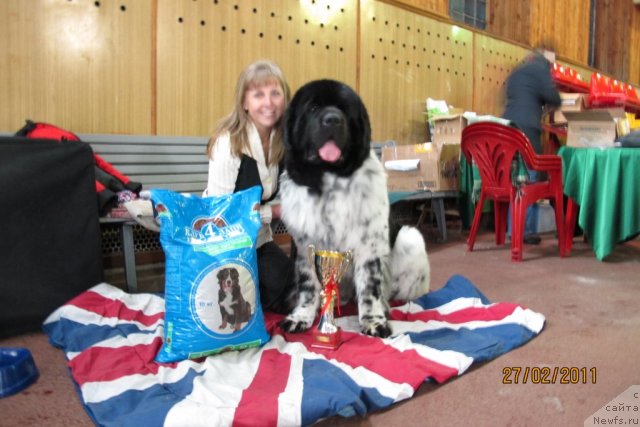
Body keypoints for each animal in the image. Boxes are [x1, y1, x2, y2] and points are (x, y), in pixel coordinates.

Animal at [278, 80, 430, 340]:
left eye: (344, 110)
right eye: (313, 107)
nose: (332, 119)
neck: (330, 180)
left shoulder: (370, 245)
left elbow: (370, 287)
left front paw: (374, 321)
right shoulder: (305, 245)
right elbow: (307, 285)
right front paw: (301, 317)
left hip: (411, 237)